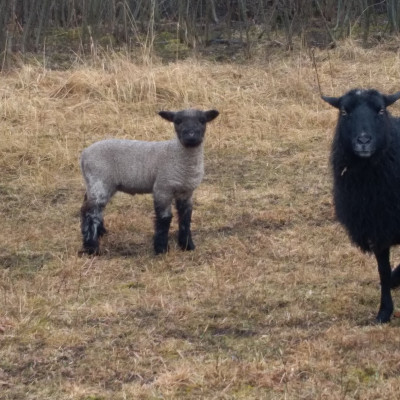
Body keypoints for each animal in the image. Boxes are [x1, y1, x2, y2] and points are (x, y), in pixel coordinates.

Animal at [320, 89, 400, 324]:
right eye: (344, 112)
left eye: (381, 110)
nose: (363, 140)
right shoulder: (377, 226)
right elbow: (383, 271)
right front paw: (384, 312)